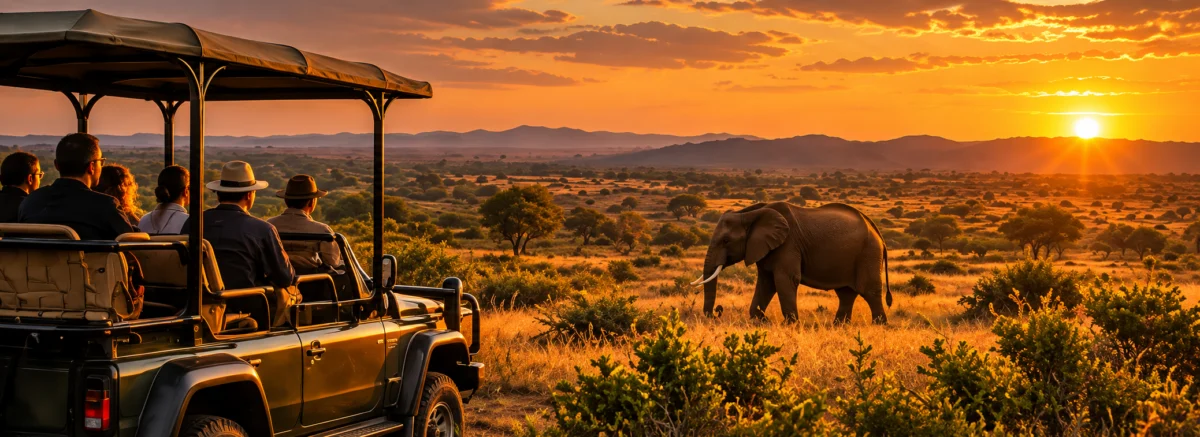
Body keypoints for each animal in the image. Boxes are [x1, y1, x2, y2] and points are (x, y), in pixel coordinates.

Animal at [693, 202, 892, 324]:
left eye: (726, 241)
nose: (718, 311)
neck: (752, 214)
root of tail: (878, 232)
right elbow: (766, 283)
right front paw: (761, 320)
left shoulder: (788, 244)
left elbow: (785, 279)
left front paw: (790, 324)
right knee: (846, 293)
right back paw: (839, 325)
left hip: (868, 253)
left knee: (869, 290)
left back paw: (879, 325)